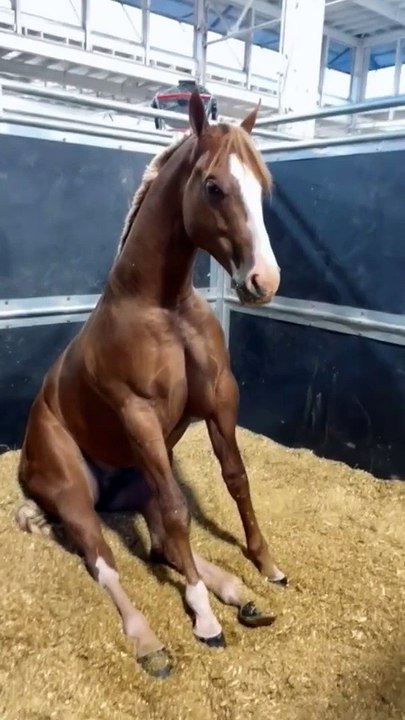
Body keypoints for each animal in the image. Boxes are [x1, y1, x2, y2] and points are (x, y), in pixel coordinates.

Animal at [15, 89, 286, 680]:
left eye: (264, 186)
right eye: (214, 187)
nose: (264, 281)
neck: (163, 306)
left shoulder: (220, 400)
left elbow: (237, 480)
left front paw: (266, 564)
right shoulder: (139, 416)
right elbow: (181, 512)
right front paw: (203, 619)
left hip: (137, 483)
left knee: (161, 543)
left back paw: (240, 595)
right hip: (73, 494)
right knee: (106, 563)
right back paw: (152, 642)